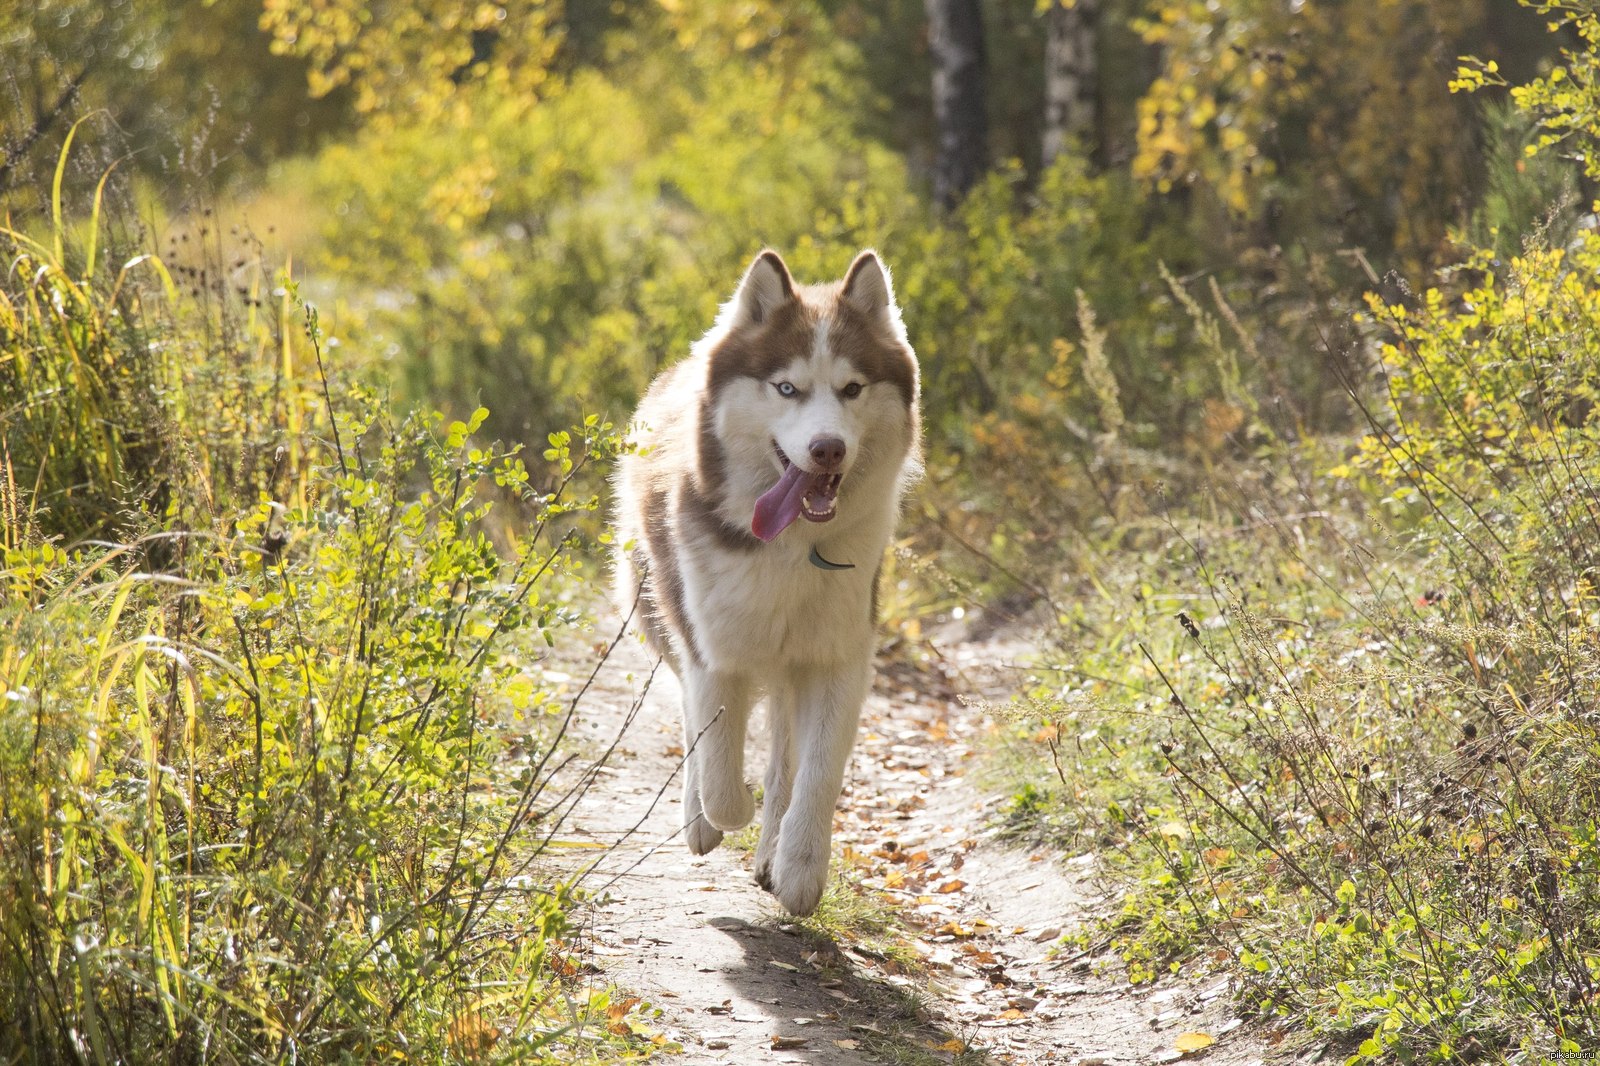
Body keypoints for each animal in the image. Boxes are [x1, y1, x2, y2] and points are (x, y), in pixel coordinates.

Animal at [614, 249, 928, 915]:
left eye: (852, 389)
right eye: (787, 388)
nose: (828, 449)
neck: (791, 550)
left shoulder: (837, 656)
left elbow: (816, 773)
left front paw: (800, 866)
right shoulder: (714, 650)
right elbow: (718, 765)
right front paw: (715, 815)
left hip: (794, 657)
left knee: (784, 748)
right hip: (659, 614)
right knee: (694, 720)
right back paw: (700, 819)